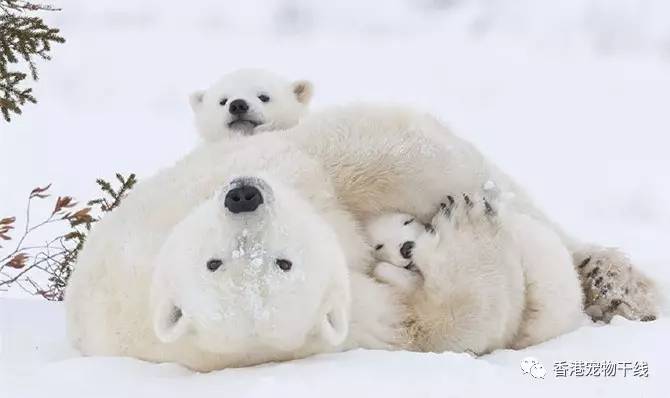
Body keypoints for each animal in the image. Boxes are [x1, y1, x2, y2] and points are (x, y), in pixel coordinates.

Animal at [67, 105, 588, 370]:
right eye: (216, 263)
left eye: (281, 260)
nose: (243, 196)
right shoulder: (349, 321)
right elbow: (431, 327)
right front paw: (464, 225)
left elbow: (359, 155)